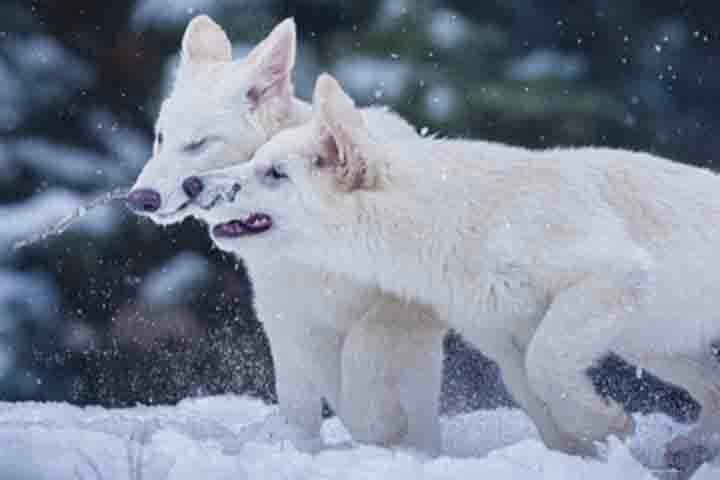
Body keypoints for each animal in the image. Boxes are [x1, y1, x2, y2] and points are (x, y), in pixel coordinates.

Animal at [127, 16, 446, 452]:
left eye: (197, 144)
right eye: (161, 138)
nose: (140, 198)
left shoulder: (402, 303)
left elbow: (365, 347)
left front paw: (377, 426)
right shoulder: (289, 319)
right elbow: (307, 398)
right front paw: (301, 442)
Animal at [192, 73, 720, 464]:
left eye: (274, 174)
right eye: (254, 161)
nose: (195, 184)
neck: (455, 220)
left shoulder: (609, 272)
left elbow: (547, 365)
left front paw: (607, 421)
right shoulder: (503, 339)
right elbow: (536, 395)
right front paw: (580, 452)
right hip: (656, 345)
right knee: (712, 389)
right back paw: (689, 446)